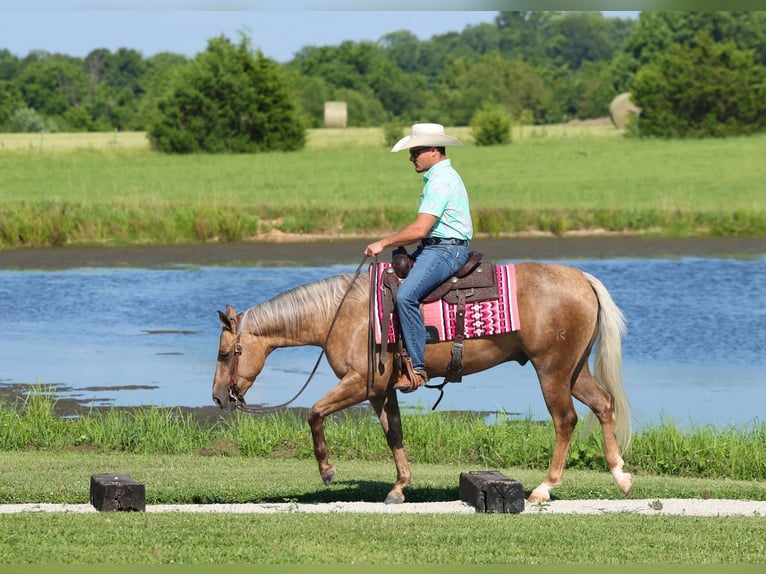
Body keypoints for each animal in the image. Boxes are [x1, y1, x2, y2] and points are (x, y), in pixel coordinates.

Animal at [212, 261, 633, 505]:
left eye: (225, 353)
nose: (218, 397)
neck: (340, 314)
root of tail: (583, 279)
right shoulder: (382, 392)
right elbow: (393, 434)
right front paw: (399, 487)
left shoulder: (360, 384)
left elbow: (314, 412)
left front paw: (328, 471)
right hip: (573, 370)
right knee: (603, 404)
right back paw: (621, 476)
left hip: (552, 371)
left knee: (565, 421)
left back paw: (544, 488)